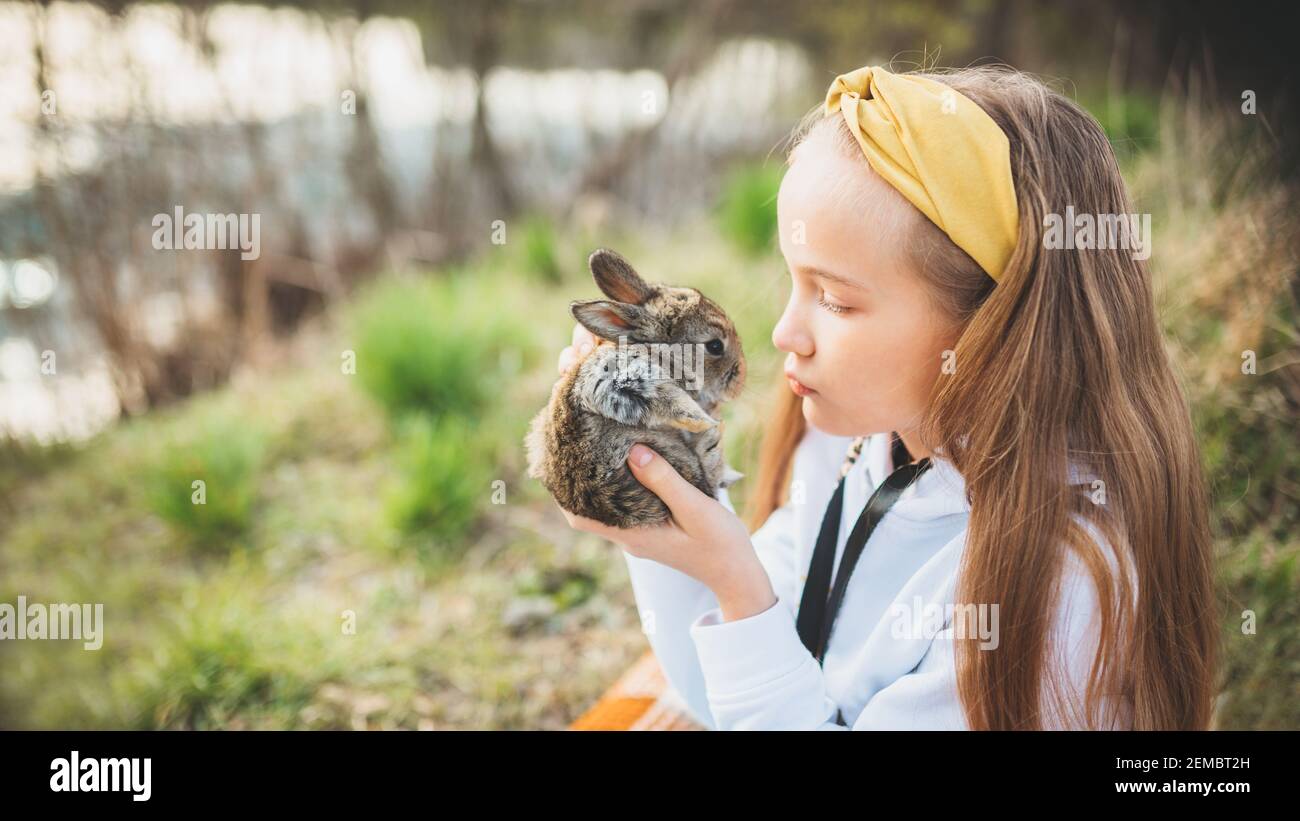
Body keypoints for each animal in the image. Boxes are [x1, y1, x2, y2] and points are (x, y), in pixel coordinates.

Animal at [525, 248, 747, 528]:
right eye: (715, 346)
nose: (739, 383)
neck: (661, 354)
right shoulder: (623, 380)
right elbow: (671, 402)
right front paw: (706, 422)